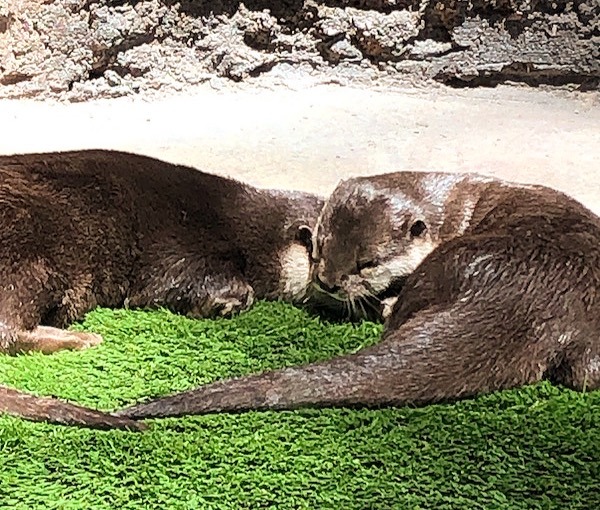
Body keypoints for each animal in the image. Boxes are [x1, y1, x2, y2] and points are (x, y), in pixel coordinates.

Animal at [0, 148, 324, 426]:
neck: (242, 229)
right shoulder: (177, 251)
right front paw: (221, 305)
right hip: (27, 258)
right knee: (9, 331)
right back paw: (84, 338)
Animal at [115, 173, 596, 420]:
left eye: (366, 262)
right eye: (319, 246)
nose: (328, 282)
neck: (447, 211)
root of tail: (531, 292)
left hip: (442, 268)